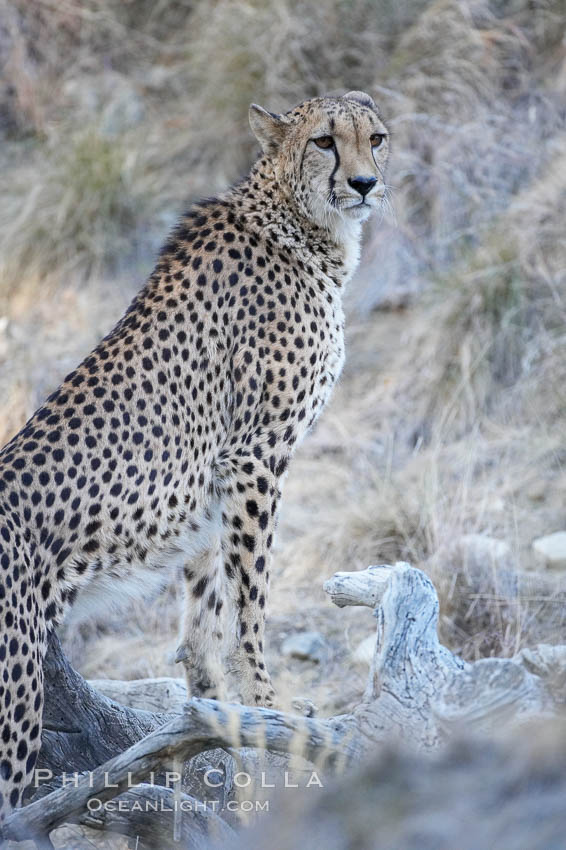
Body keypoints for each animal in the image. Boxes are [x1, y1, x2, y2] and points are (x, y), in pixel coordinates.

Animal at [0, 90, 389, 822]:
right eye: (324, 142)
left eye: (375, 138)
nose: (363, 183)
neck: (298, 225)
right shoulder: (255, 457)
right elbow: (252, 609)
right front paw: (268, 707)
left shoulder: (213, 493)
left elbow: (206, 624)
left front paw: (218, 731)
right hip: (16, 684)